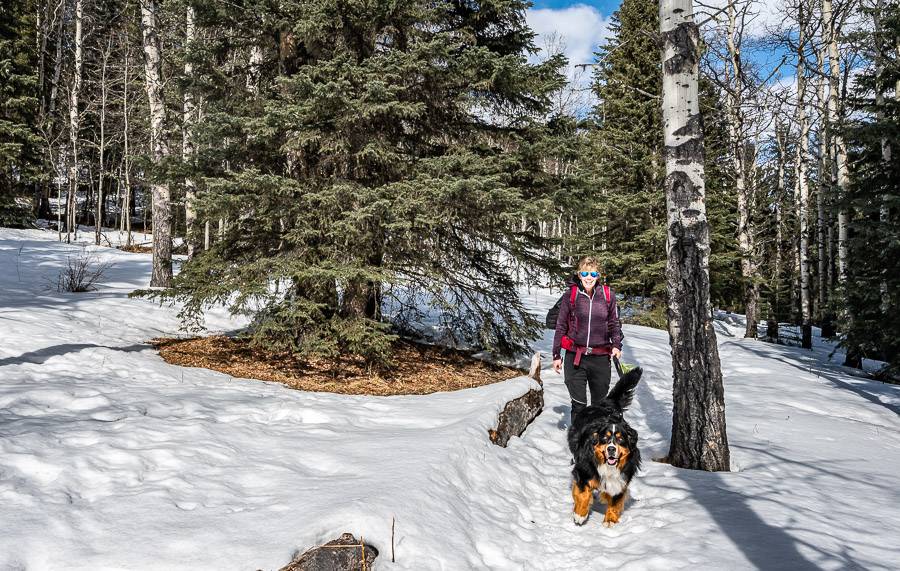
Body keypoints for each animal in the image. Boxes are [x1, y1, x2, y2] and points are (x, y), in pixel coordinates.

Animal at [568, 366, 640, 528]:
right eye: (605, 439)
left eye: (620, 439)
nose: (611, 449)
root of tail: (604, 404)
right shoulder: (583, 471)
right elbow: (583, 494)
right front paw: (580, 515)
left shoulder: (622, 478)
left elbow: (615, 499)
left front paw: (610, 520)